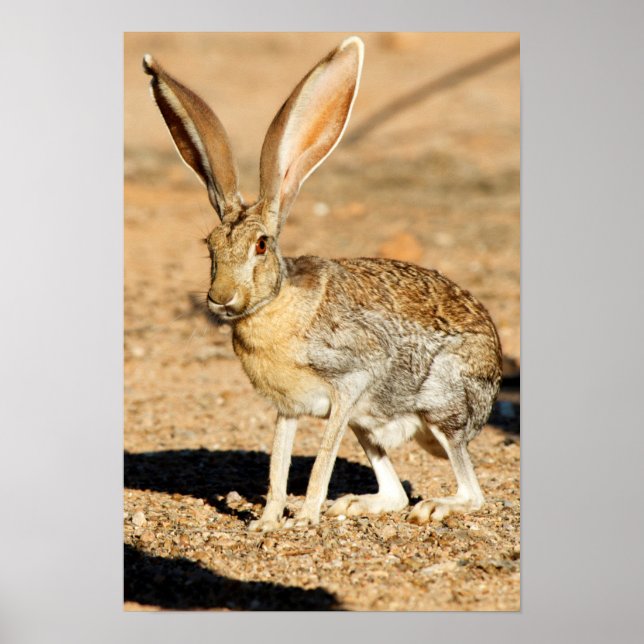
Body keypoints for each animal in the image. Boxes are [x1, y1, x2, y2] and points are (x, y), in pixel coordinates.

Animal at [143, 36, 502, 532]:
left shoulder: (351, 380)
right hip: (368, 424)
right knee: (394, 493)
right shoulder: (287, 407)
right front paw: (267, 522)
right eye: (208, 245)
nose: (221, 298)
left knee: (471, 490)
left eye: (261, 245)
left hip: (441, 405)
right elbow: (278, 465)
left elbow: (319, 462)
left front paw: (303, 518)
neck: (276, 305)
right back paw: (352, 505)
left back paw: (434, 507)